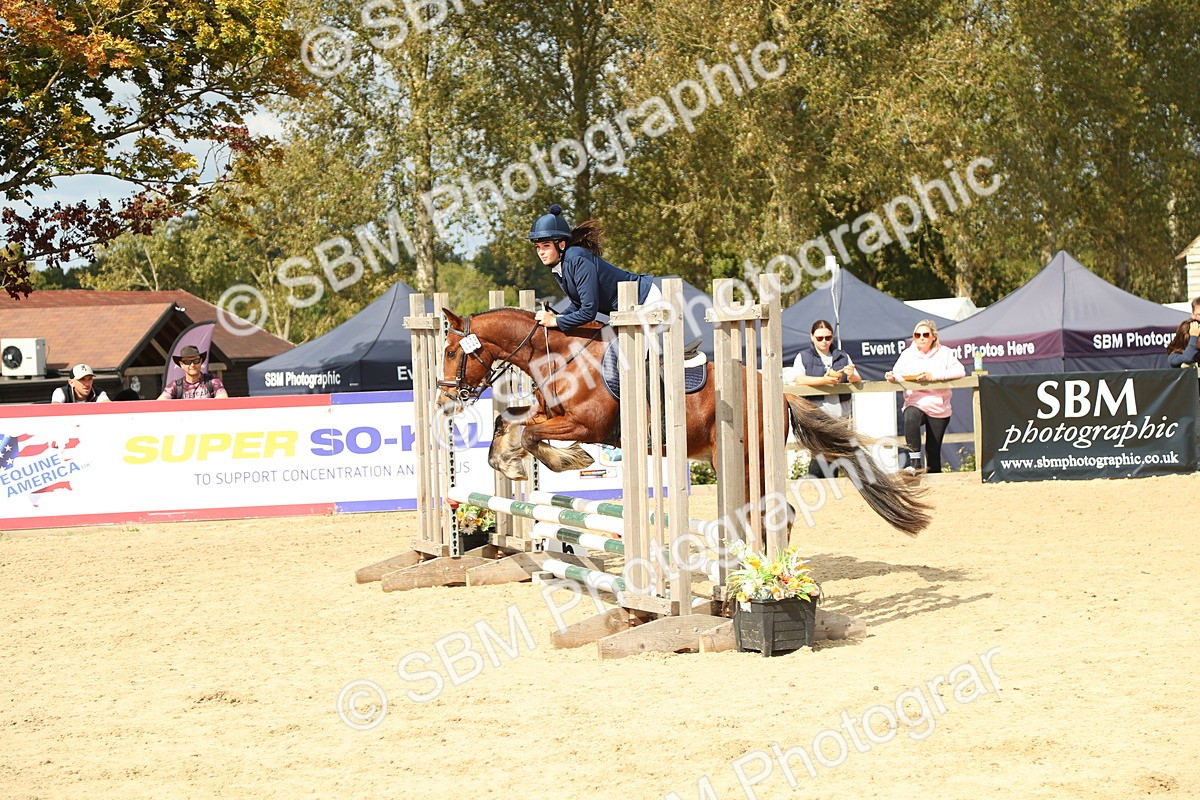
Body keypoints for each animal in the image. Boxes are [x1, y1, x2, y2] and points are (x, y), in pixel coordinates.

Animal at [438, 307, 930, 536]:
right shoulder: (551, 412)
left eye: (450, 351)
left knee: (779, 514)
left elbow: (532, 433)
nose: (444, 399)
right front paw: (511, 461)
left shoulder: (586, 426)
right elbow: (510, 424)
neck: (562, 355)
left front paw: (563, 460)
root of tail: (782, 395)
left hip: (748, 462)